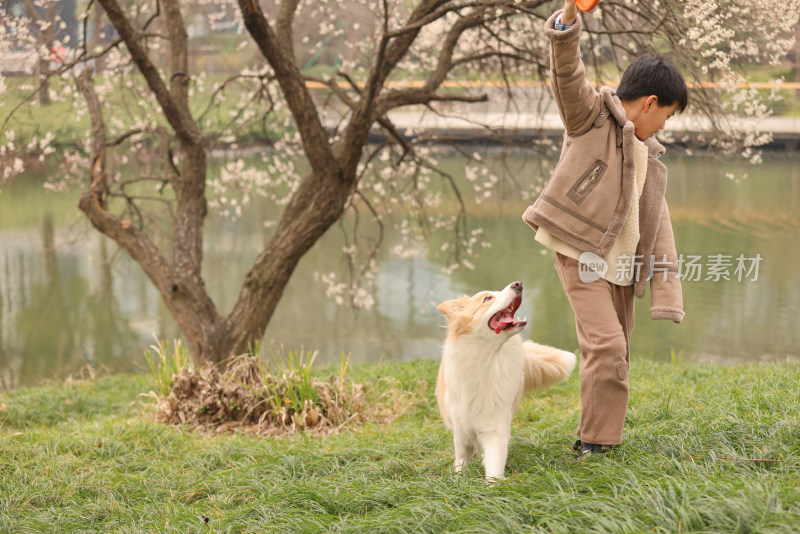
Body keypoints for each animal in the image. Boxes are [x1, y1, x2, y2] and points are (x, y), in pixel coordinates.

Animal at [438, 282, 576, 484]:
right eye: (487, 298)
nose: (518, 284)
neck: (487, 359)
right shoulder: (461, 426)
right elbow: (462, 458)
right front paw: (460, 478)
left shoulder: (495, 425)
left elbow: (494, 463)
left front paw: (493, 487)